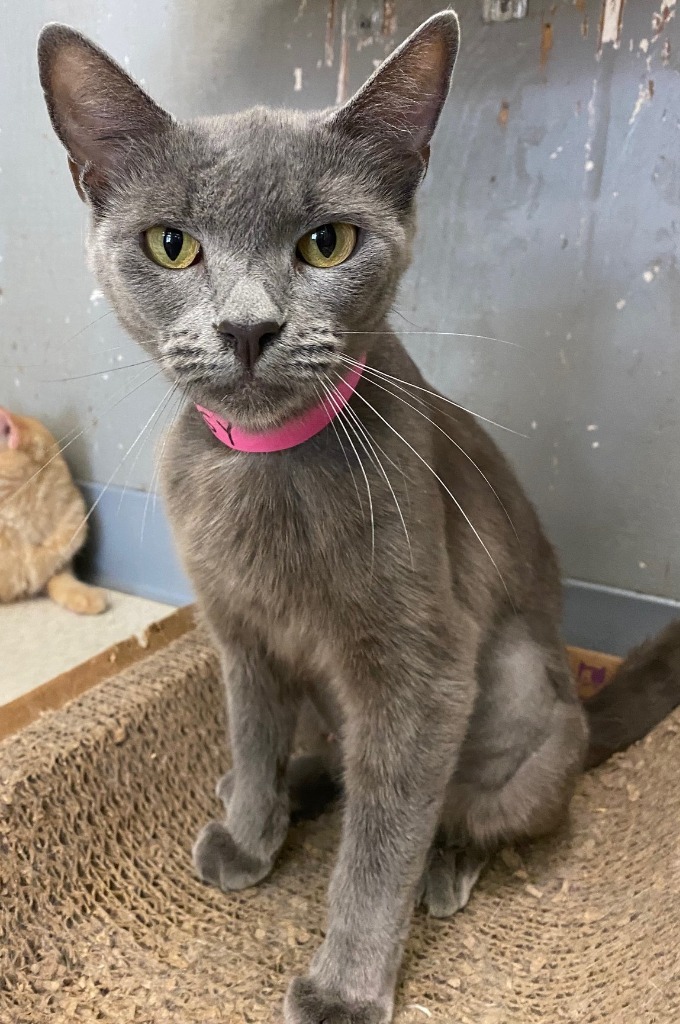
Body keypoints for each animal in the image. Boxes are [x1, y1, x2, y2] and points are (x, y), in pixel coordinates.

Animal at [38, 16, 680, 1024]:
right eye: (172, 244)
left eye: (328, 243)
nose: (249, 328)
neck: (263, 470)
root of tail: (583, 714)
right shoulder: (240, 634)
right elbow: (254, 733)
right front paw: (251, 833)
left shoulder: (422, 674)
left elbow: (381, 843)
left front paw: (345, 987)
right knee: (330, 759)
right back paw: (278, 790)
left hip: (515, 686)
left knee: (458, 813)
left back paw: (445, 867)